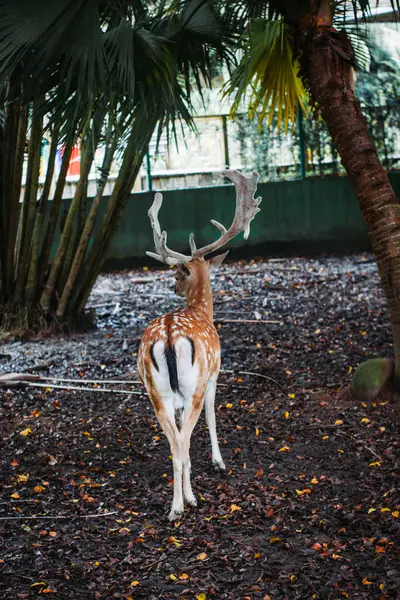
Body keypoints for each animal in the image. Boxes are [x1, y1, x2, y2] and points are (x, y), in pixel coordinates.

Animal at [138, 169, 262, 520]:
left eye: (179, 274)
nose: (173, 285)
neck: (202, 311)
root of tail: (168, 334)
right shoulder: (215, 375)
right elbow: (211, 417)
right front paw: (219, 462)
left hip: (157, 392)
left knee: (174, 441)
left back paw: (175, 505)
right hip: (193, 383)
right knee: (182, 441)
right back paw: (185, 503)